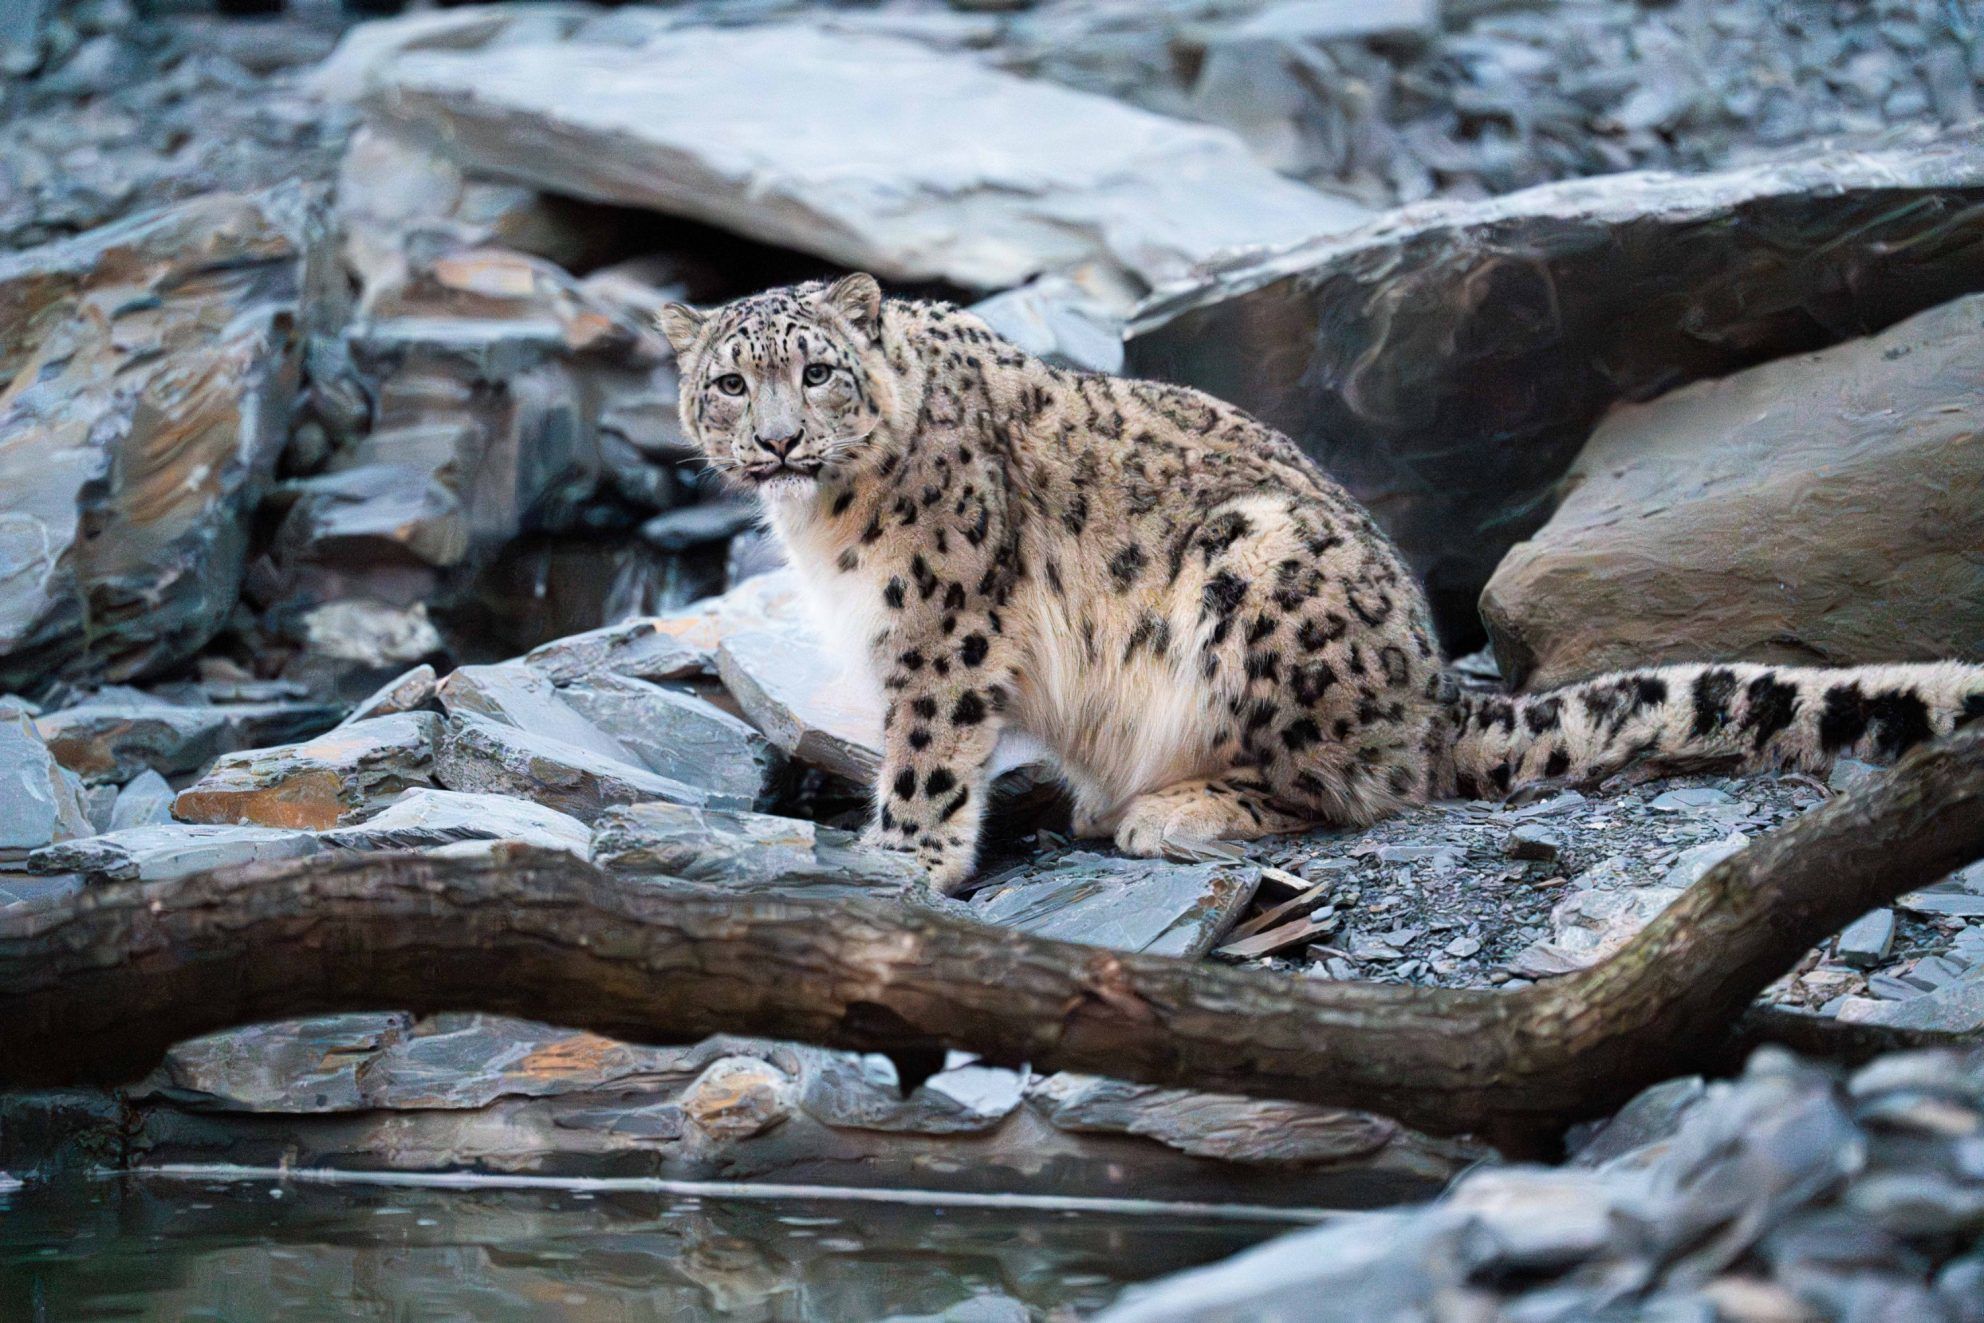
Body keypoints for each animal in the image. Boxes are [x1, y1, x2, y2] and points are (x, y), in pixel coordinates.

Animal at [658, 273, 1984, 892]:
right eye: (728, 383)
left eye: (816, 371)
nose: (776, 440)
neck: (821, 526)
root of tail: (1435, 695)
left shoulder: (946, 618)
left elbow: (930, 746)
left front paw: (900, 860)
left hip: (1254, 571)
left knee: (1352, 790)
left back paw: (1170, 808)